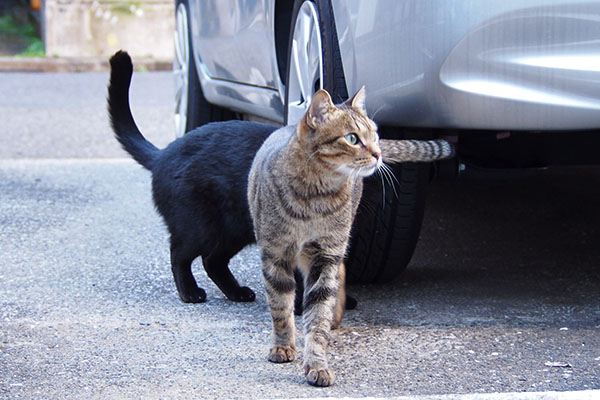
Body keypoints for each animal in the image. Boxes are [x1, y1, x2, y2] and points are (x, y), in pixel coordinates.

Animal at [248, 89, 454, 386]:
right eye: (352, 138)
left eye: (375, 135)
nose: (378, 153)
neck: (315, 199)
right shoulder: (275, 255)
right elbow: (280, 308)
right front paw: (283, 346)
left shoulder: (325, 257)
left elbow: (318, 315)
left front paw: (317, 363)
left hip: (336, 247)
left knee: (340, 276)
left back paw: (335, 317)